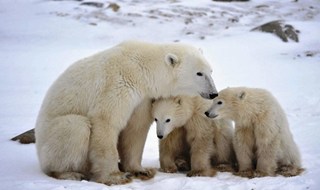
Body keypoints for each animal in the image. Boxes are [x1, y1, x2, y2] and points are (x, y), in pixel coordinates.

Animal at [35, 40, 218, 186]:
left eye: (211, 71)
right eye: (199, 73)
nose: (213, 93)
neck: (142, 68)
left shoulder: (142, 98)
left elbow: (136, 128)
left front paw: (141, 170)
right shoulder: (117, 84)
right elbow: (106, 121)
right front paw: (116, 177)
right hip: (50, 138)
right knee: (75, 127)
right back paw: (69, 173)